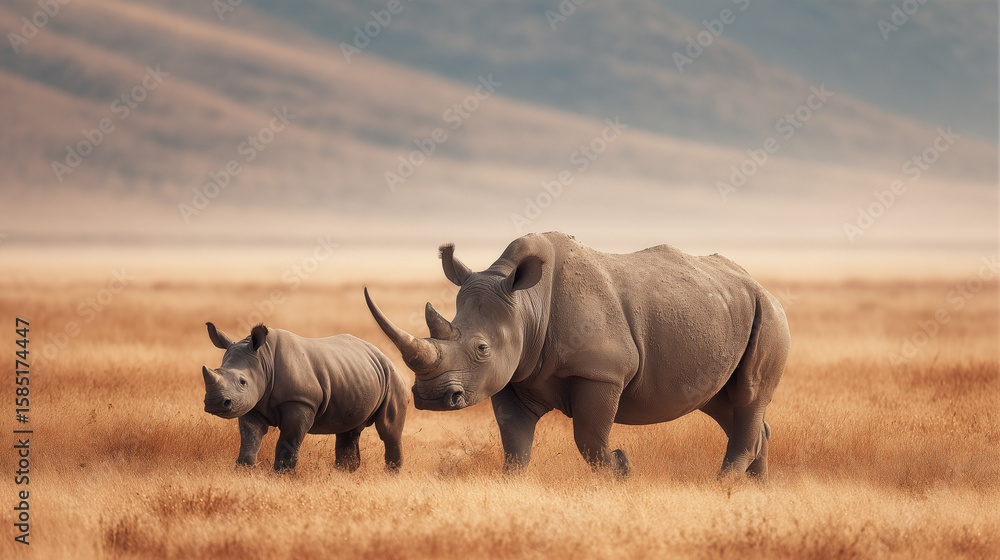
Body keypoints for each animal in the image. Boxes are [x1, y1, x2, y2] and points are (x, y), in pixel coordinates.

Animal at [201, 322, 408, 472]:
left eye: (243, 382)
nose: (214, 403)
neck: (263, 360)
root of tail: (382, 354)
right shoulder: (253, 404)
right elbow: (250, 436)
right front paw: (244, 470)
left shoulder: (301, 401)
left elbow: (289, 438)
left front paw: (282, 474)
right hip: (355, 373)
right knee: (348, 429)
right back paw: (345, 473)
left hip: (392, 377)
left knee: (388, 429)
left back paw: (391, 474)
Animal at [364, 232, 789, 479]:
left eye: (481, 348)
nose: (431, 398)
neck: (527, 305)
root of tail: (760, 284)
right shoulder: (513, 374)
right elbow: (515, 443)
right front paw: (510, 484)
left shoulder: (601, 372)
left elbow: (589, 438)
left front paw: (621, 469)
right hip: (728, 310)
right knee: (721, 403)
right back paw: (754, 486)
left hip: (768, 312)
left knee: (748, 396)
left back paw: (723, 484)